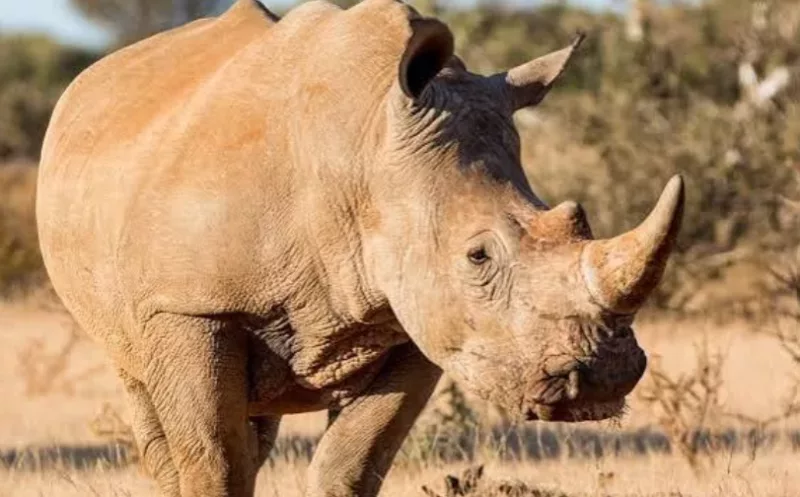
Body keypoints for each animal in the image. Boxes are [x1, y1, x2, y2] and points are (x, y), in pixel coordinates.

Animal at [35, 1, 684, 496]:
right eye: (477, 257)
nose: (604, 379)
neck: (367, 151)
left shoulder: (418, 321)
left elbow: (352, 462)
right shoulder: (187, 306)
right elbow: (212, 460)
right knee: (152, 398)